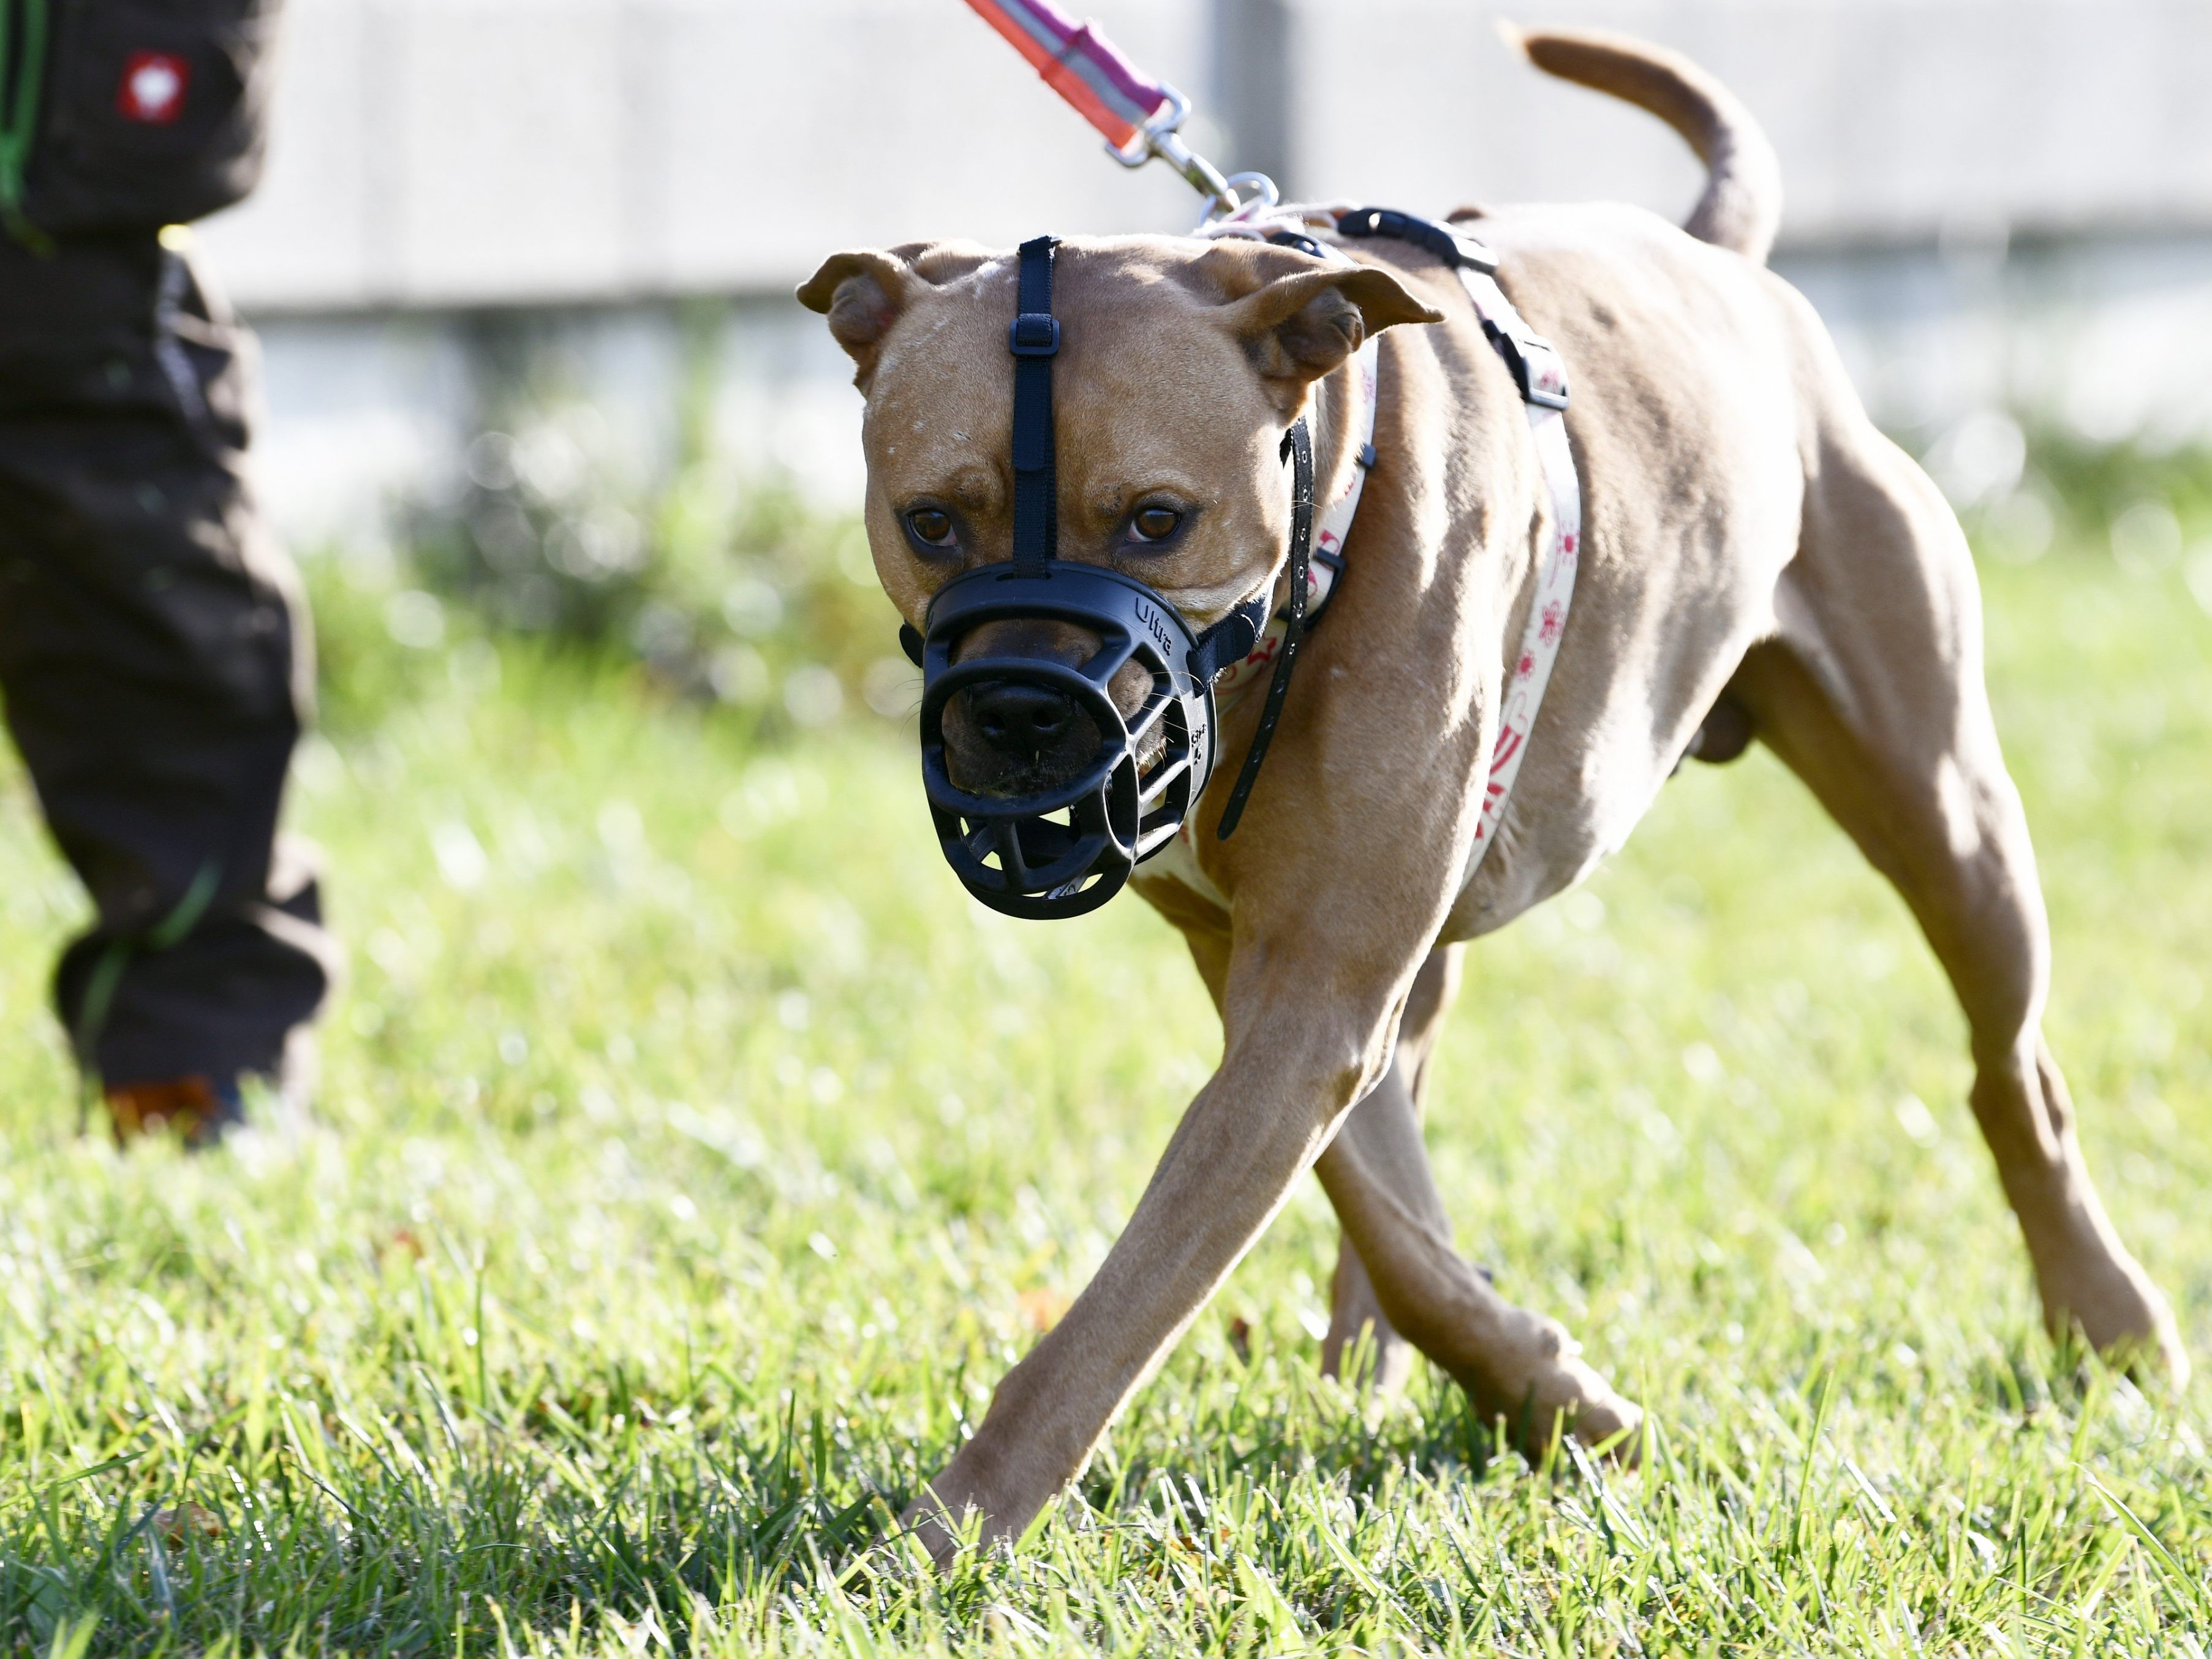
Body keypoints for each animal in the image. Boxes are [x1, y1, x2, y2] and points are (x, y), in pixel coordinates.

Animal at [796, 26, 2176, 1557]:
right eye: (930, 521)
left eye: (1157, 519)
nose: (1023, 713)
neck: (1315, 530)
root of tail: (1720, 261)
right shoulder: (1281, 971)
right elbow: (1385, 1214)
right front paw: (1540, 1389)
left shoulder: (1315, 985)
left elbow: (1130, 1301)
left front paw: (948, 1531)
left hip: (1947, 817)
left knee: (2012, 1074)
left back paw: (2104, 1317)